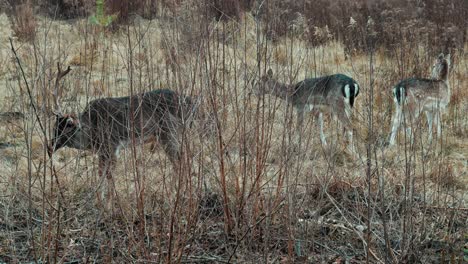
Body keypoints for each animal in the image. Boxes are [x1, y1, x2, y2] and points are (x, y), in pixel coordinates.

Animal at [49, 63, 199, 206]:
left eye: (68, 127)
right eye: (54, 127)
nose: (50, 146)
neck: (92, 132)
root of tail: (192, 103)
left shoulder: (112, 146)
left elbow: (109, 174)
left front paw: (109, 205)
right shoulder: (102, 151)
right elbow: (100, 172)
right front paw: (99, 202)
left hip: (168, 132)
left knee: (179, 161)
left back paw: (172, 198)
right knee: (184, 158)